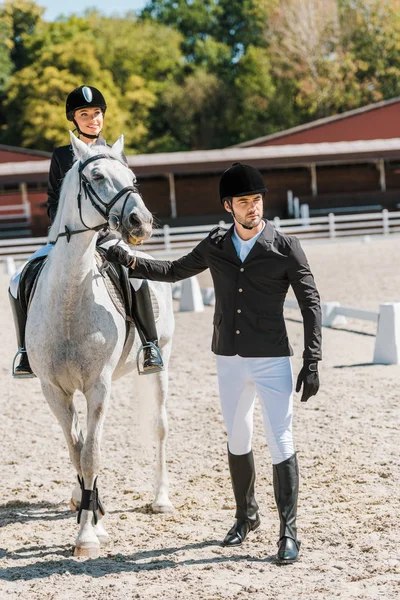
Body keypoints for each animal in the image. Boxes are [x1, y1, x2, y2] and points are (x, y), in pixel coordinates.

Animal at [25, 131, 175, 556]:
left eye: (132, 176)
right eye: (95, 176)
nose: (141, 222)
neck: (70, 299)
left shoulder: (98, 386)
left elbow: (92, 455)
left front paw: (88, 535)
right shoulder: (53, 390)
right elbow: (76, 451)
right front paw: (90, 512)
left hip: (162, 360)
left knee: (159, 426)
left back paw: (160, 499)